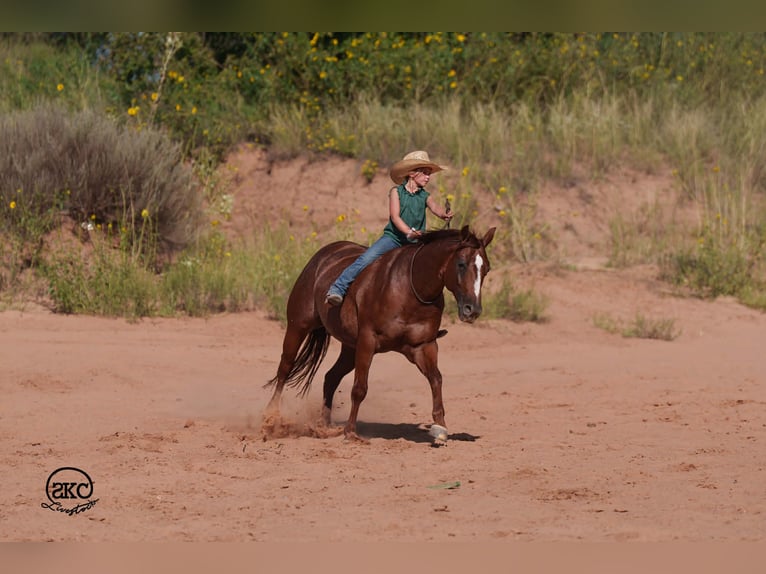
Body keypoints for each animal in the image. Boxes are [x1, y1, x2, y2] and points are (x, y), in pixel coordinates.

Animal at [263, 224, 496, 444]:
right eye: (461, 264)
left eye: (486, 269)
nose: (472, 310)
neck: (410, 287)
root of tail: (324, 255)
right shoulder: (368, 341)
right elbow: (359, 388)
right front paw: (351, 432)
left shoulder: (424, 346)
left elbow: (436, 379)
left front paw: (440, 428)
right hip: (298, 326)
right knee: (285, 368)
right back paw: (270, 419)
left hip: (350, 347)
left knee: (331, 377)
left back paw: (324, 427)